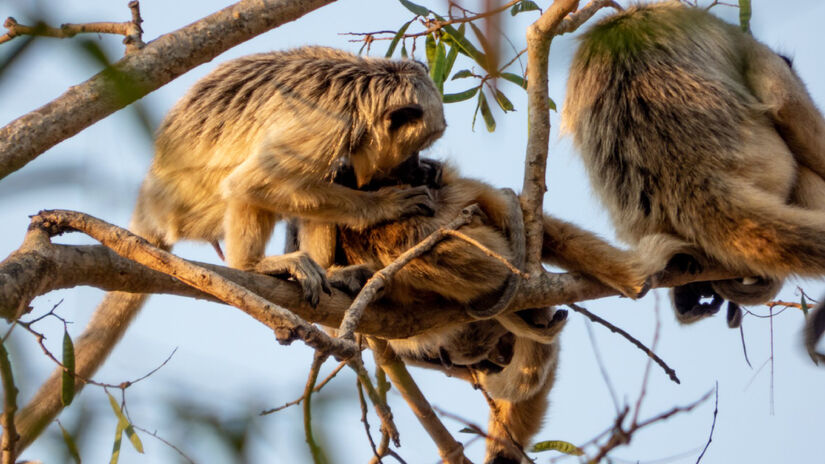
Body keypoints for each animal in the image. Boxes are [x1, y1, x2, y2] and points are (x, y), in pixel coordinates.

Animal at [14, 46, 450, 450]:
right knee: (251, 184)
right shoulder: (324, 128)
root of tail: (149, 202)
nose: (414, 166)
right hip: (190, 207)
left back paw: (331, 272)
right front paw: (384, 205)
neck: (363, 96)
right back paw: (255, 265)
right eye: (412, 146)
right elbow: (254, 182)